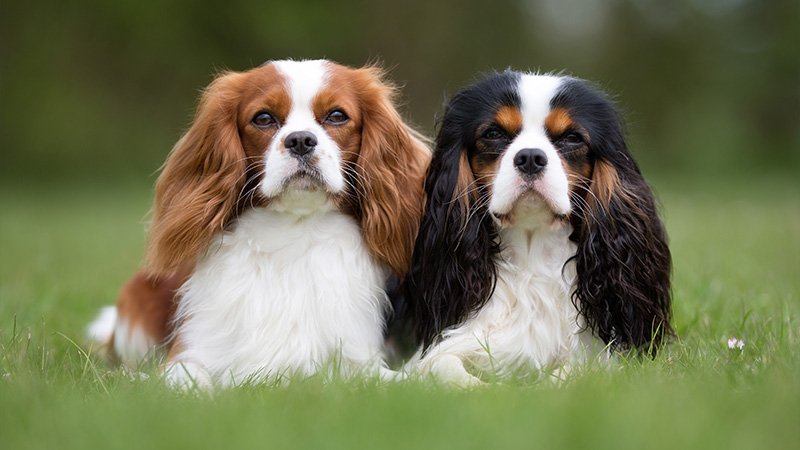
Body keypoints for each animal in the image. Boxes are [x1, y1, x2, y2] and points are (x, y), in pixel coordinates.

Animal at [87, 59, 432, 388]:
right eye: (263, 119)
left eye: (337, 116)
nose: (300, 140)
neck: (294, 232)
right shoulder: (188, 353)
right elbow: (186, 380)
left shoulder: (358, 361)